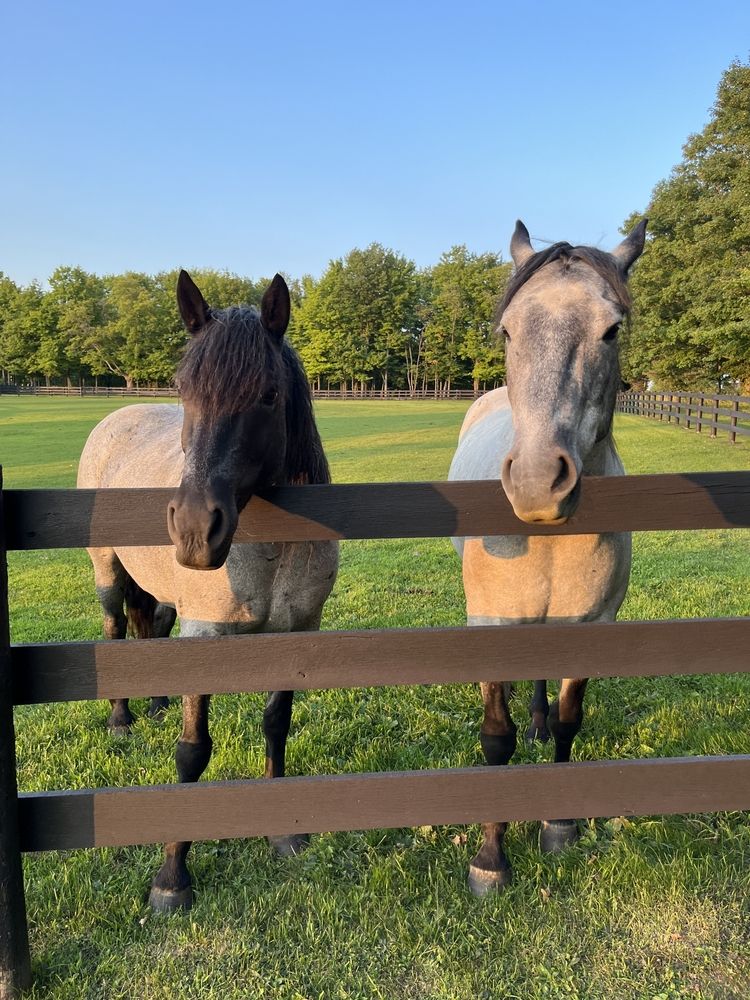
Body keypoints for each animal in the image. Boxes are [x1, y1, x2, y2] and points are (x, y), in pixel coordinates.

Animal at [77, 271, 339, 911]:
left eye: (267, 395)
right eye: (184, 389)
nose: (196, 529)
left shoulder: (295, 636)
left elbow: (276, 726)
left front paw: (282, 835)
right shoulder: (206, 636)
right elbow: (192, 751)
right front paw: (171, 878)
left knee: (149, 624)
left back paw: (153, 702)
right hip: (107, 571)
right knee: (116, 626)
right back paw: (121, 719)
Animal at [448, 218, 647, 895]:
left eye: (611, 330)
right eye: (508, 331)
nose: (538, 483)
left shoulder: (589, 627)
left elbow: (568, 721)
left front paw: (558, 826)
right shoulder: (491, 626)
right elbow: (495, 741)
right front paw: (489, 860)